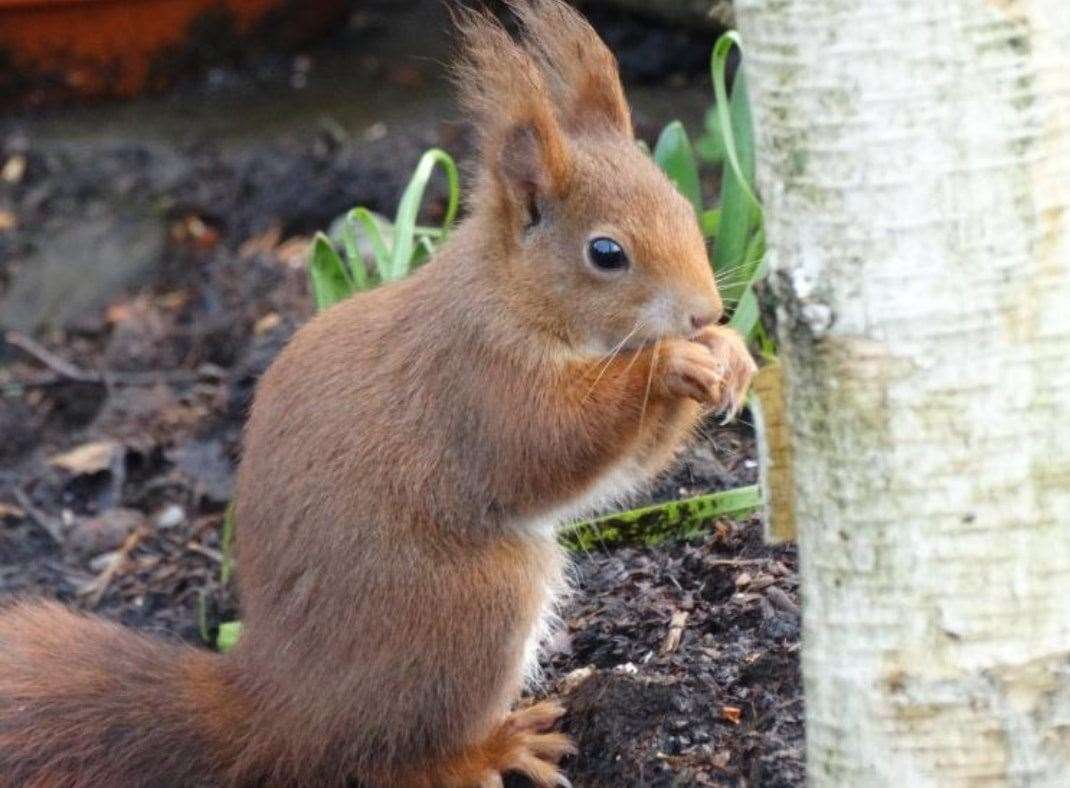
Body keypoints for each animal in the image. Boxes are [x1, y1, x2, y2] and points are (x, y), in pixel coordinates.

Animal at [0, 3, 757, 783]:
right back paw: (499, 748)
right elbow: (547, 443)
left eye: (682, 203)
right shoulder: (476, 379)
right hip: (473, 607)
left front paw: (729, 355)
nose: (704, 311)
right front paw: (667, 365)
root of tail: (281, 713)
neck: (512, 295)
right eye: (606, 253)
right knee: (410, 760)